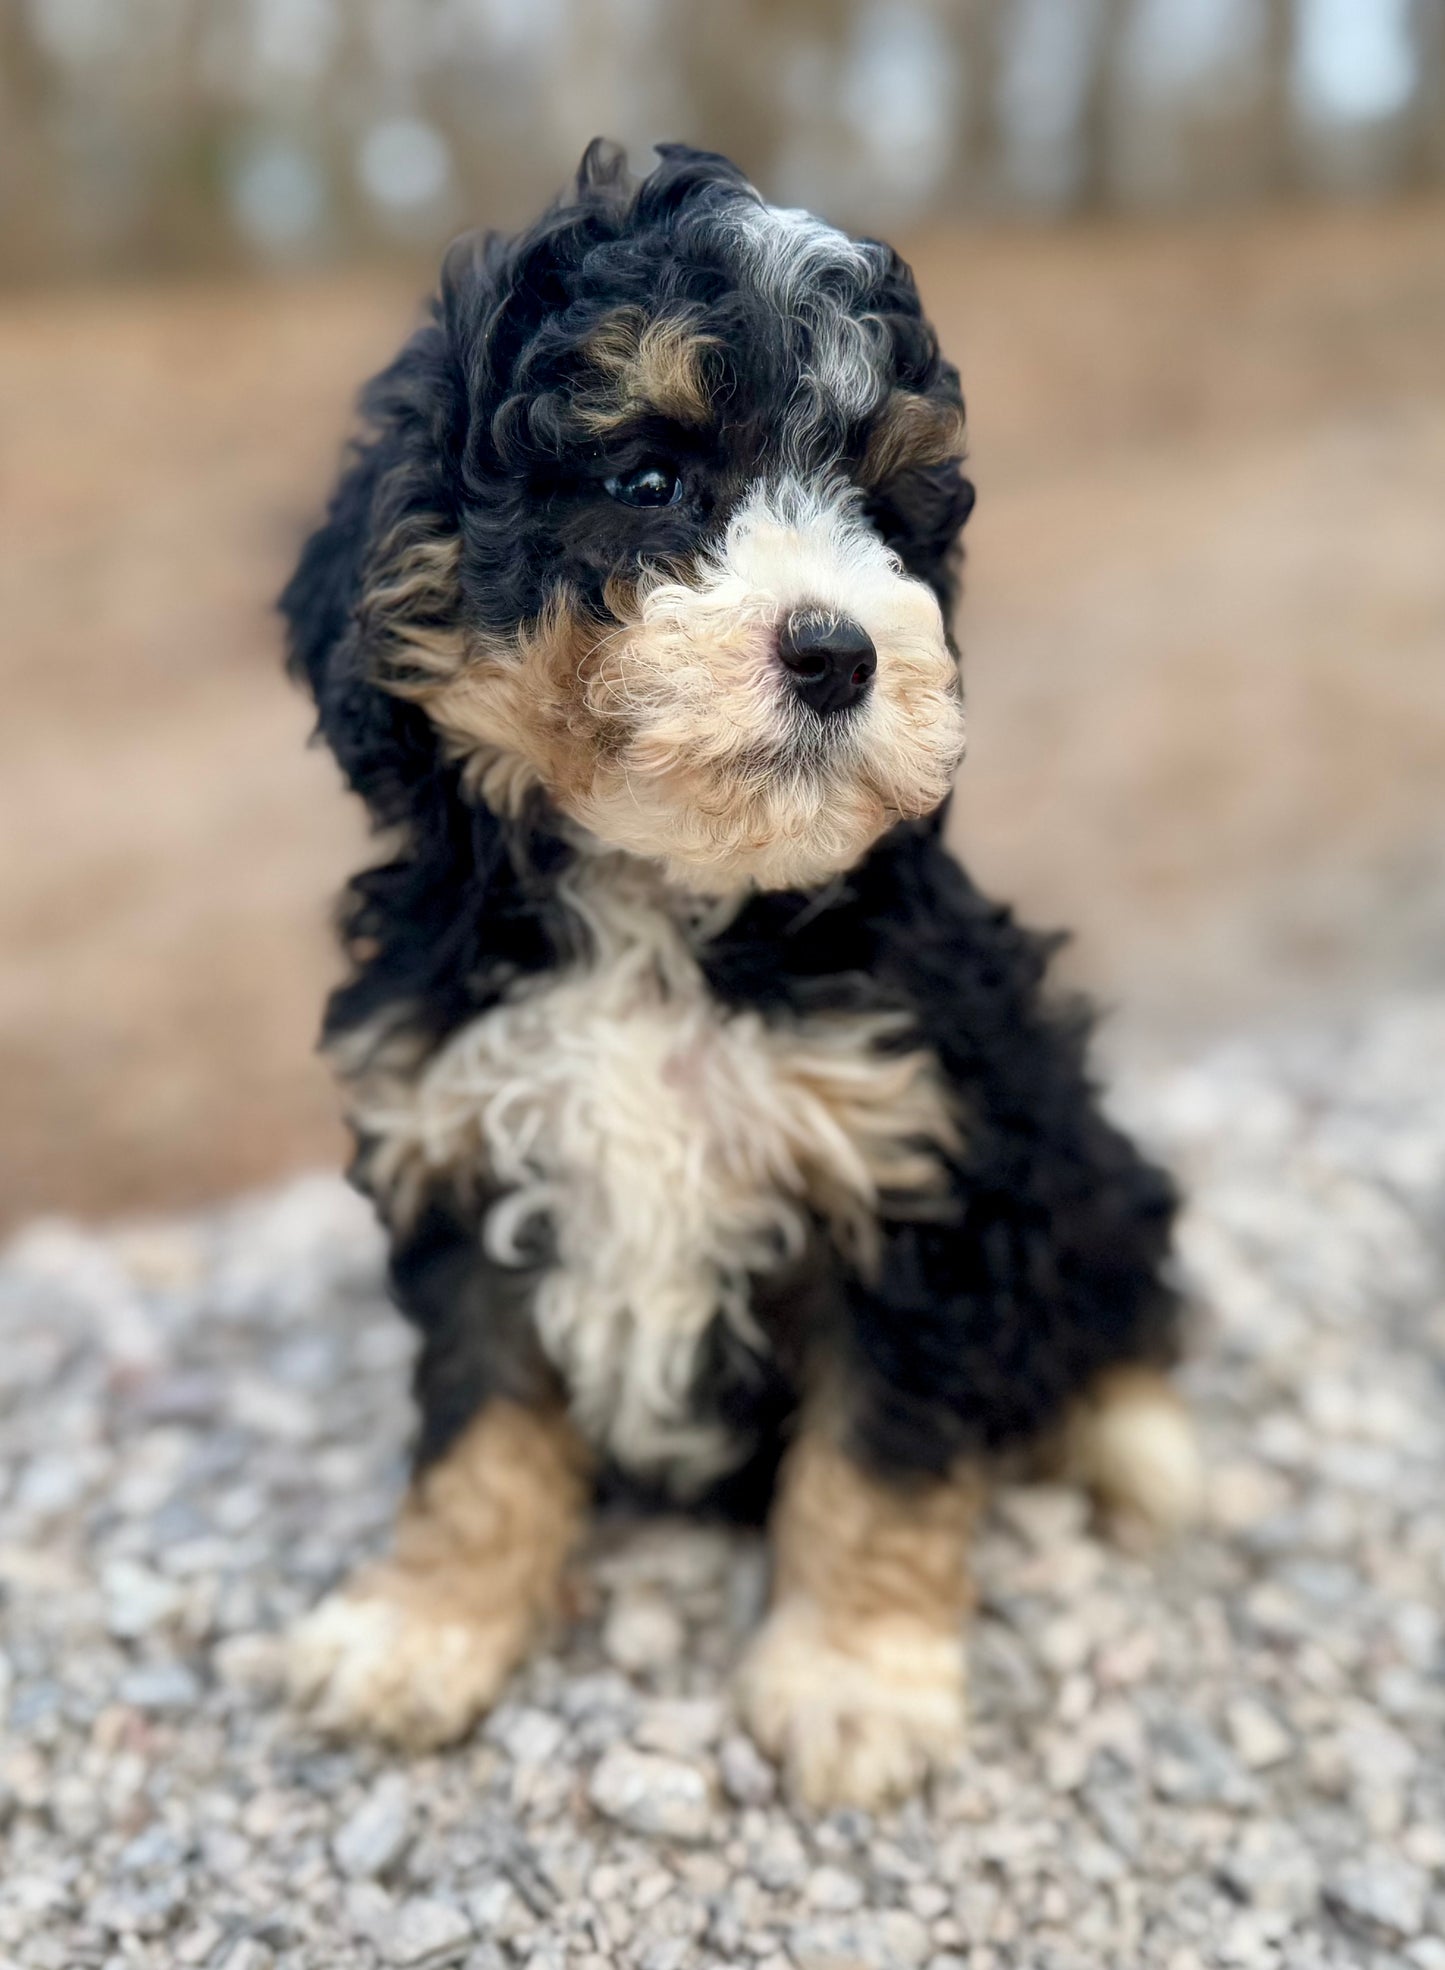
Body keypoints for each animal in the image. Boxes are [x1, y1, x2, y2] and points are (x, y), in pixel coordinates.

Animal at [279, 138, 1196, 1804]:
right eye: (648, 479)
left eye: (887, 514)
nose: (838, 652)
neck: (662, 904)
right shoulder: (461, 1145)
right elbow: (479, 1435)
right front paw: (421, 1627)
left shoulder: (917, 1177)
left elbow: (877, 1456)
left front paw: (851, 1678)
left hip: (1067, 1134)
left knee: (1120, 1285)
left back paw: (1137, 1443)